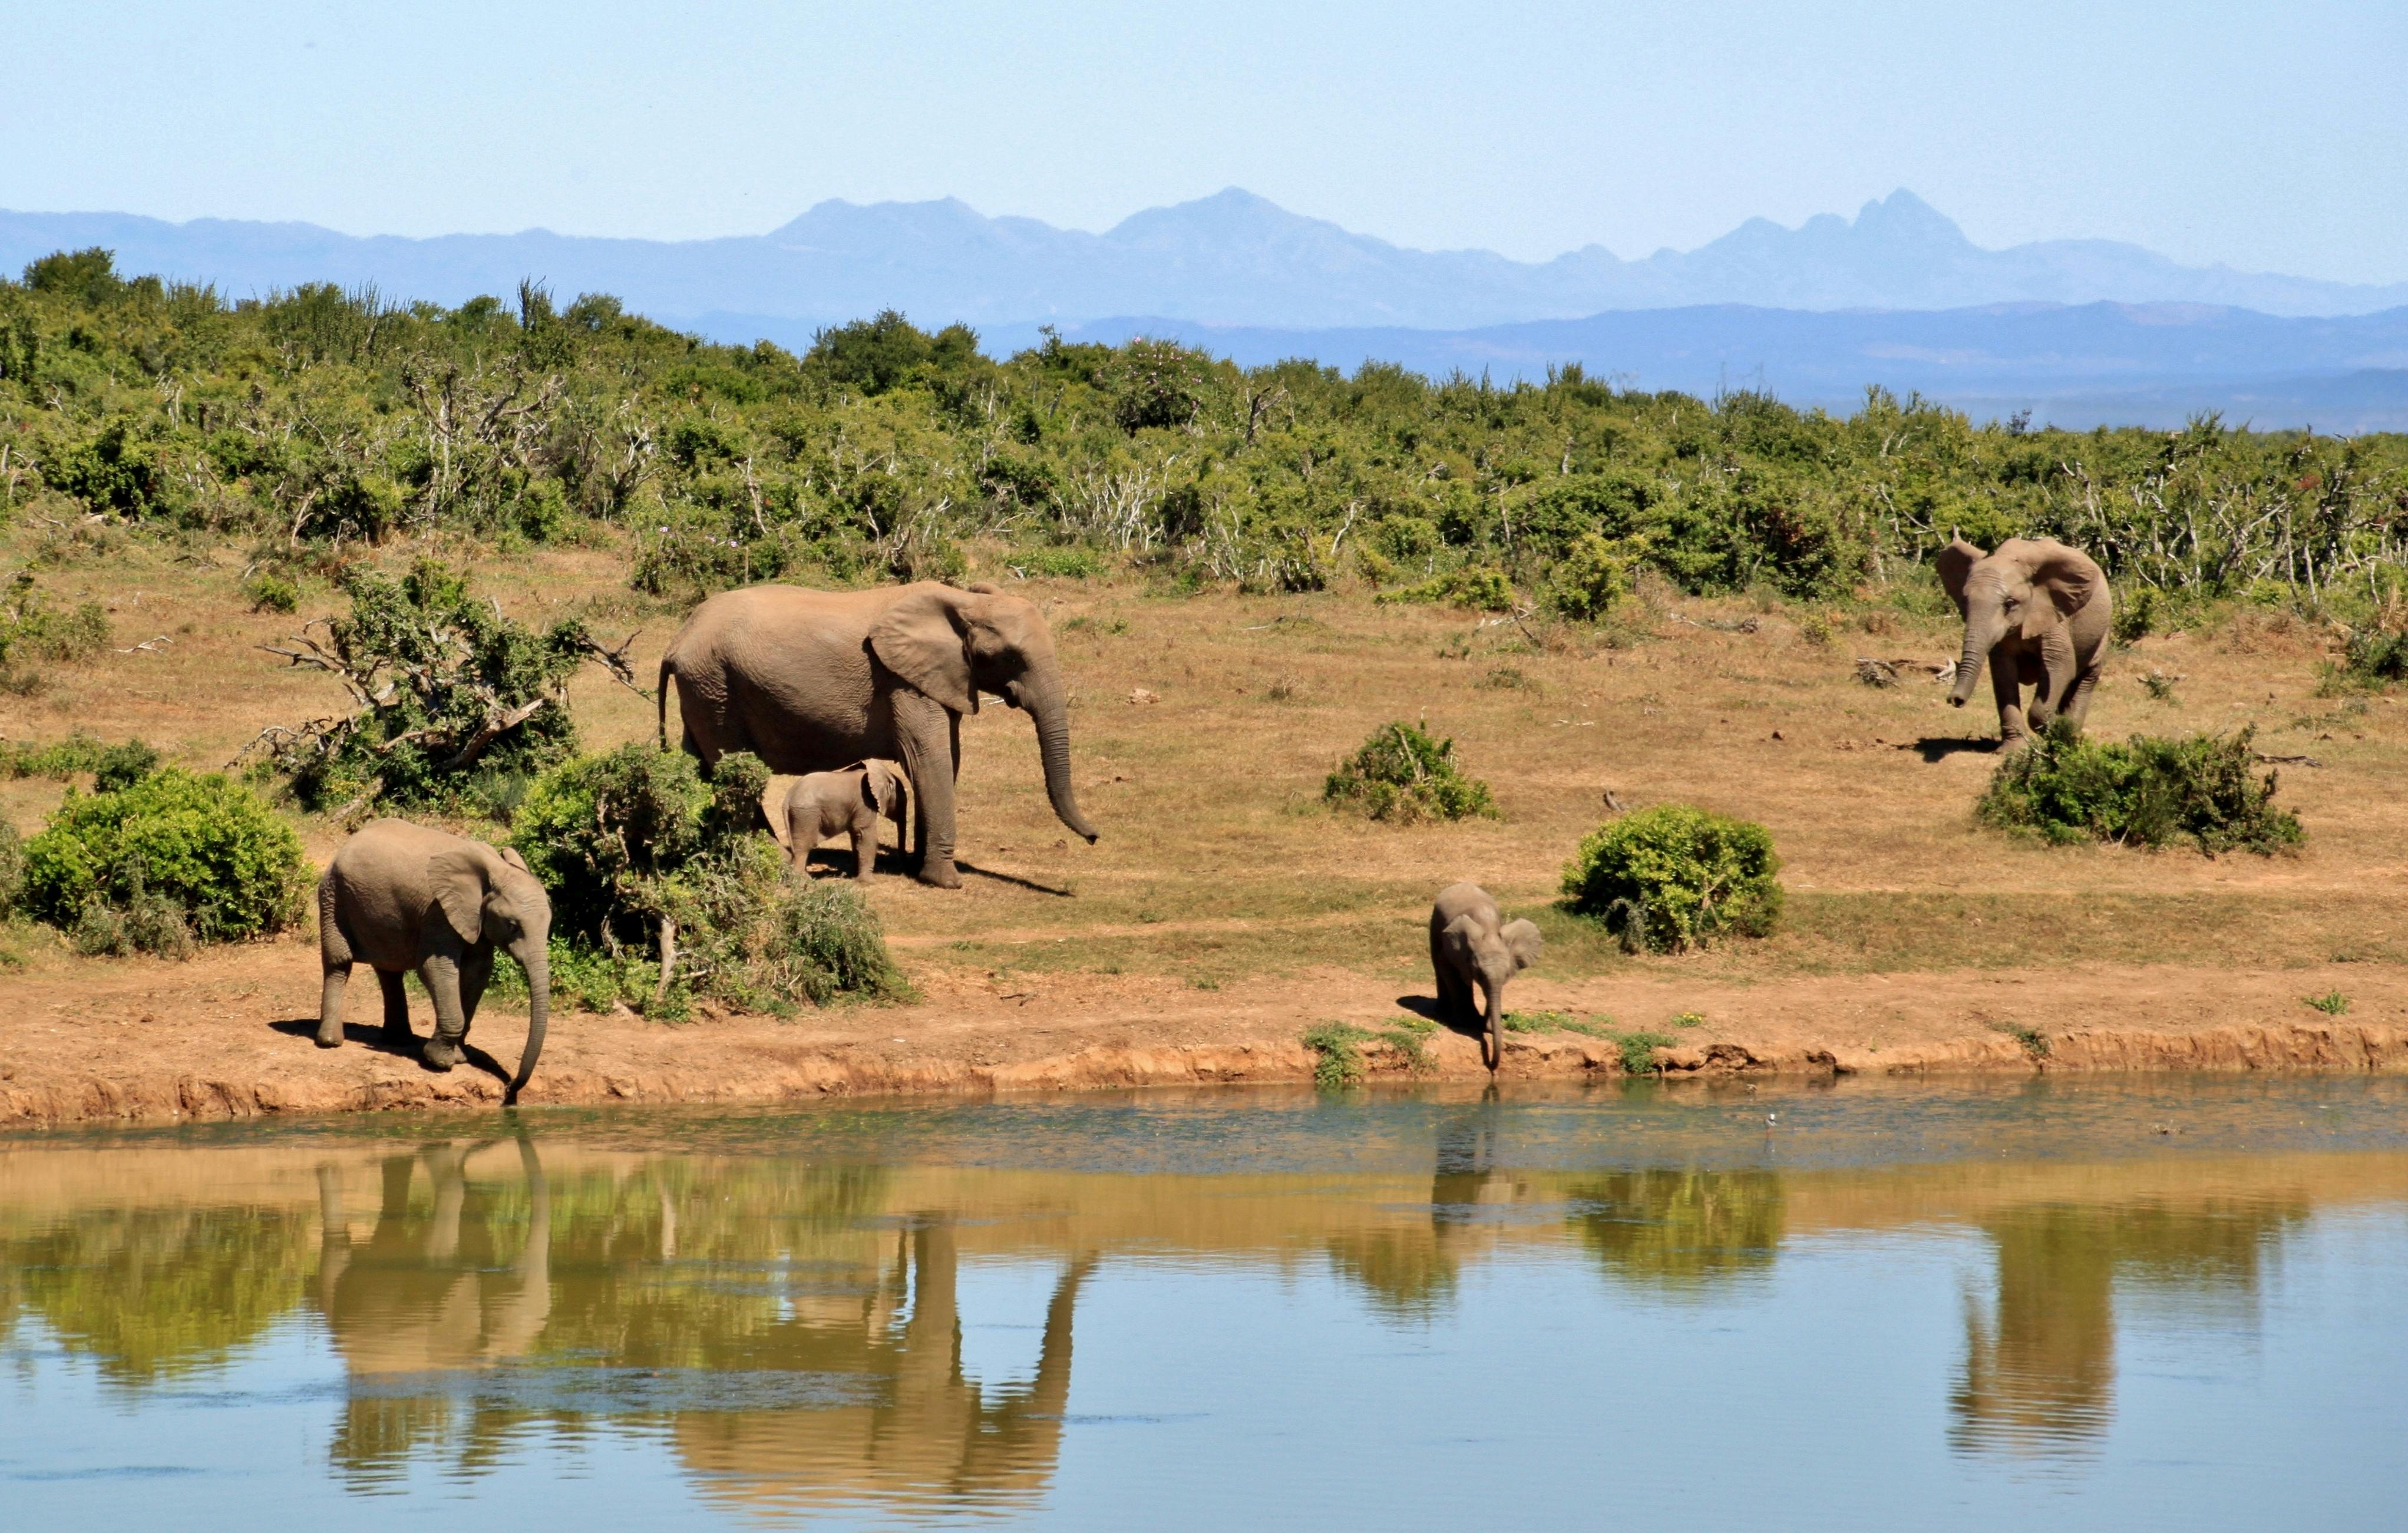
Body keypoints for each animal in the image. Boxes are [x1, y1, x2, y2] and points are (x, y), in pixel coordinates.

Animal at [313, 818, 549, 1092]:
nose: (511, 1086)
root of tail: (350, 841)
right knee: (339, 963)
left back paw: (399, 1041)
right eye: (512, 926)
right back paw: (330, 1042)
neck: (495, 870)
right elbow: (436, 967)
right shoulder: (438, 911)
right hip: (333, 895)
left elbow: (478, 972)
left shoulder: (474, 919)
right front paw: (440, 1062)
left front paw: (459, 1057)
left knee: (389, 970)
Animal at [780, 760, 910, 881]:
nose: (902, 869)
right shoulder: (864, 804)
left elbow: (856, 836)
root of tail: (788, 798)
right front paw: (869, 882)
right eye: (901, 803)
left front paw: (854, 875)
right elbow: (867, 835)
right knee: (804, 845)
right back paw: (803, 878)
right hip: (806, 814)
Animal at [1425, 881, 1541, 1068]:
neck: (1489, 930)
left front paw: (1487, 1027)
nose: (1492, 1065)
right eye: (1479, 973)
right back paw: (1443, 1013)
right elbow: (1450, 972)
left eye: (1508, 975)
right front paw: (1466, 1024)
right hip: (1435, 923)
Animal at [1935, 534, 2109, 746]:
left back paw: (2070, 732)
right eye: (1965, 601)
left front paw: (2057, 726)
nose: (1955, 700)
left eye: (2009, 604)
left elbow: (2060, 665)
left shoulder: (2053, 613)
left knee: (2088, 676)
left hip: (2103, 631)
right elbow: (2003, 673)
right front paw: (2014, 749)